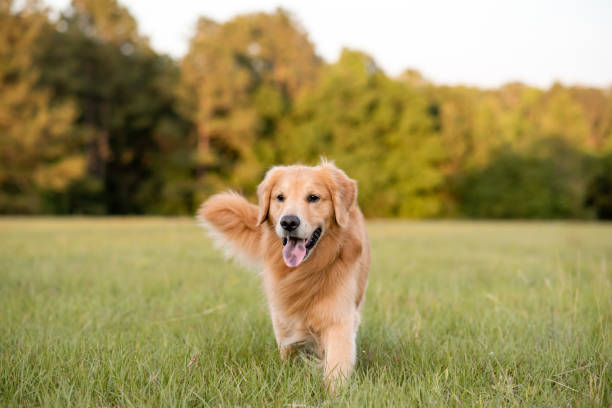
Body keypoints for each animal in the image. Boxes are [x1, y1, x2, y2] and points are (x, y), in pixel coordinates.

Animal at [197, 161, 368, 390]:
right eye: (280, 197)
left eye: (313, 197)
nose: (288, 222)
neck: (305, 271)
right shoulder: (282, 312)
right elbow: (288, 349)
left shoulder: (339, 316)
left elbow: (336, 364)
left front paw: (334, 392)